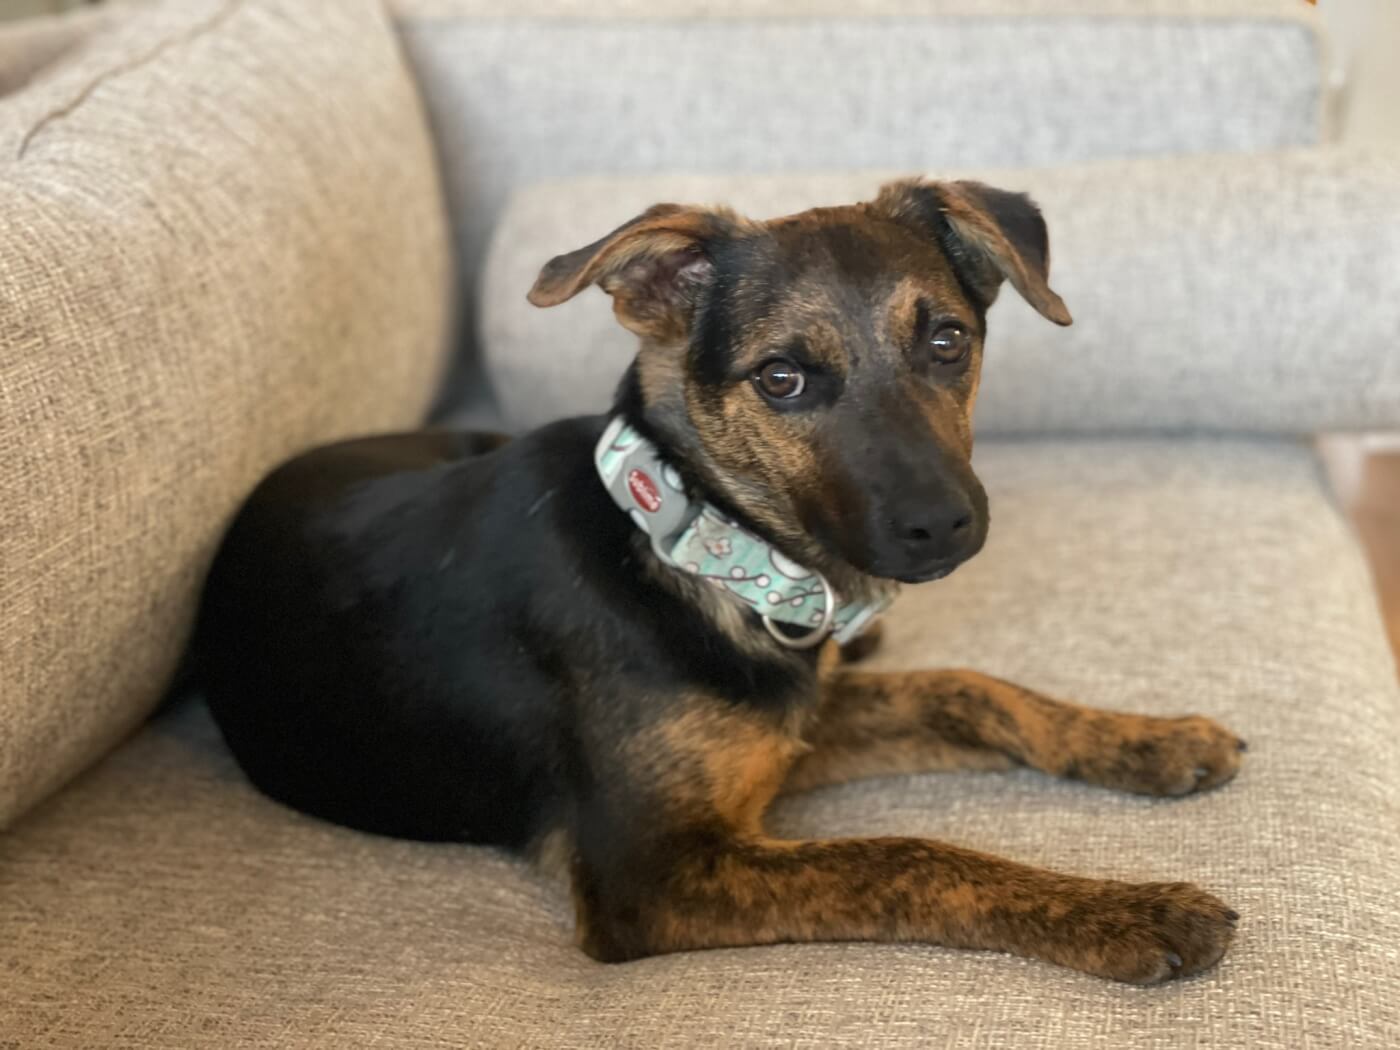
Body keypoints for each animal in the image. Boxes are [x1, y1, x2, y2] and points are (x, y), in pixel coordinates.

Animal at [200, 180, 1248, 985]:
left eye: (948, 341)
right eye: (781, 378)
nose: (945, 523)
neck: (698, 546)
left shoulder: (790, 727)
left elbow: (971, 690)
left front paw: (1152, 740)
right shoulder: (655, 873)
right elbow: (903, 856)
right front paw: (1126, 913)